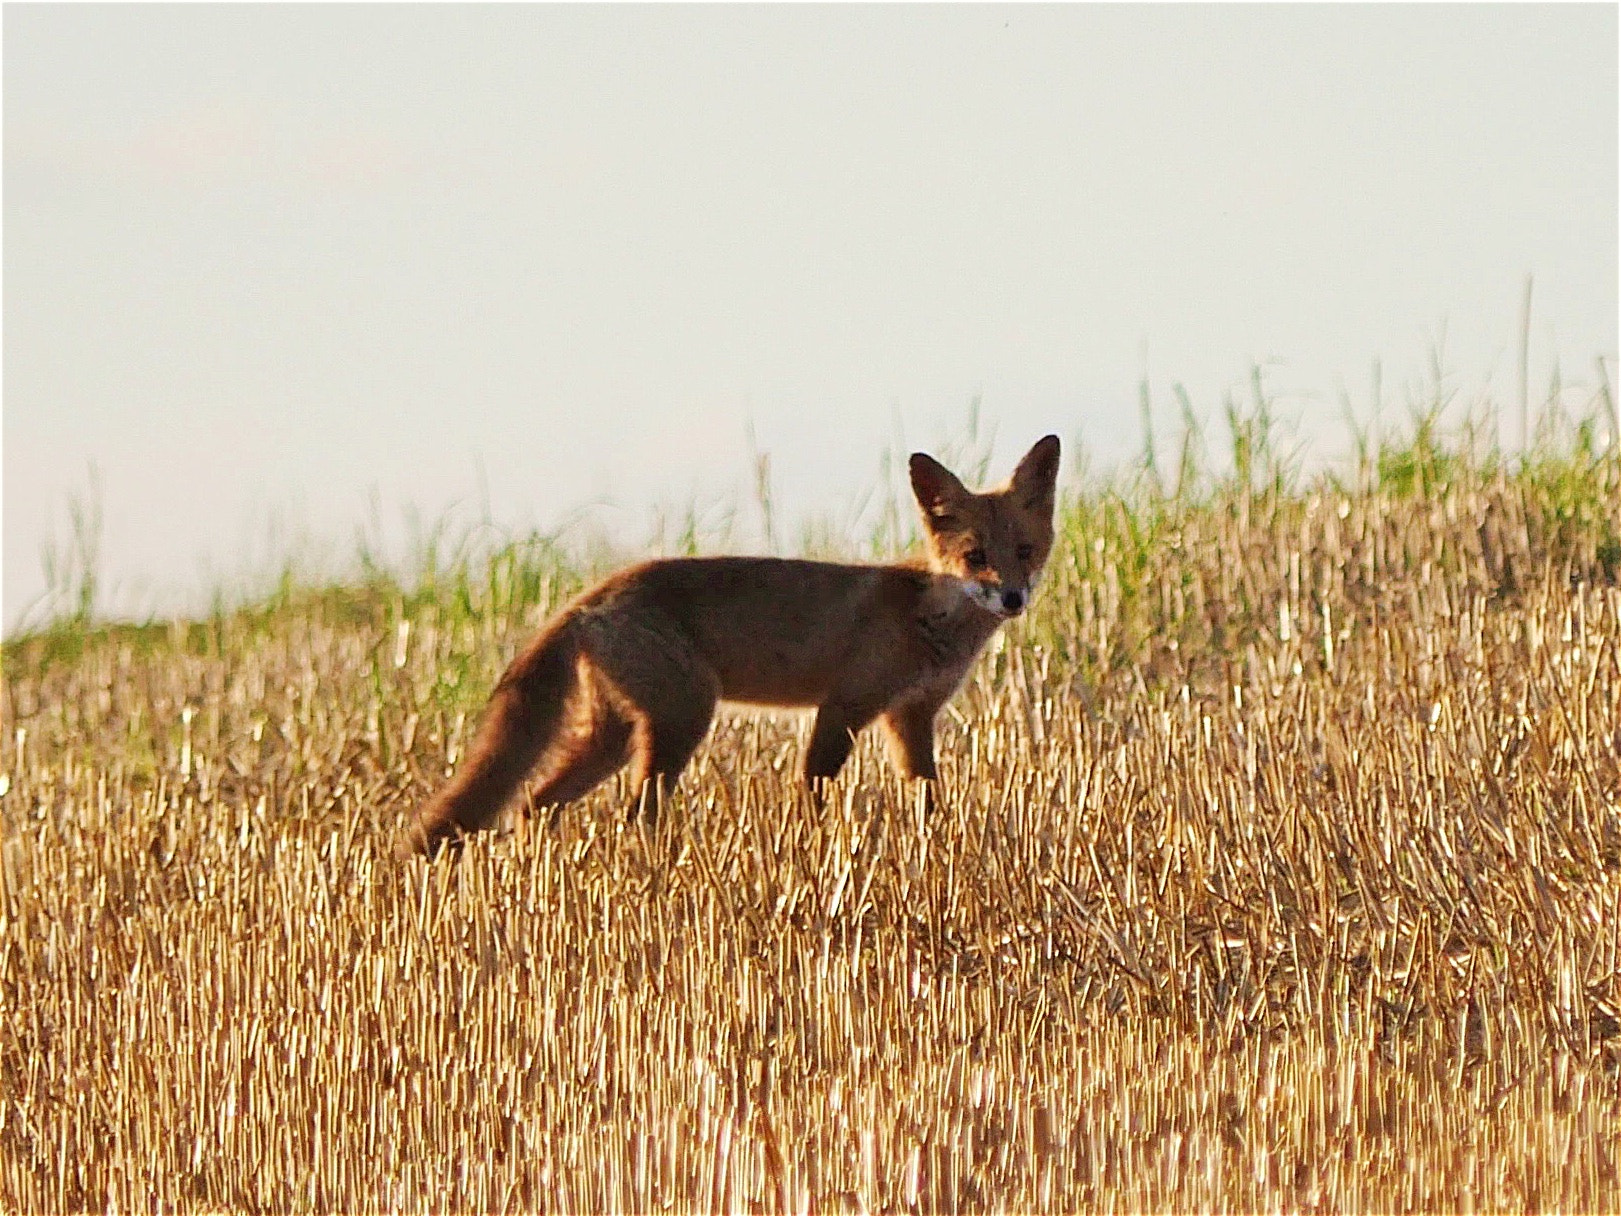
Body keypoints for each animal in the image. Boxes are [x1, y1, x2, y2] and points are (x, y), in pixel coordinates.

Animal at [402, 434, 1060, 856]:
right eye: (975, 557)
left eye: (1025, 551)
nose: (1012, 599)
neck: (929, 618)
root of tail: (592, 595)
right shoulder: (844, 706)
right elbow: (813, 793)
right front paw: (814, 855)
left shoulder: (910, 717)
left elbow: (928, 800)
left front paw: (939, 848)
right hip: (683, 718)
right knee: (631, 815)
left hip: (614, 736)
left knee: (531, 809)